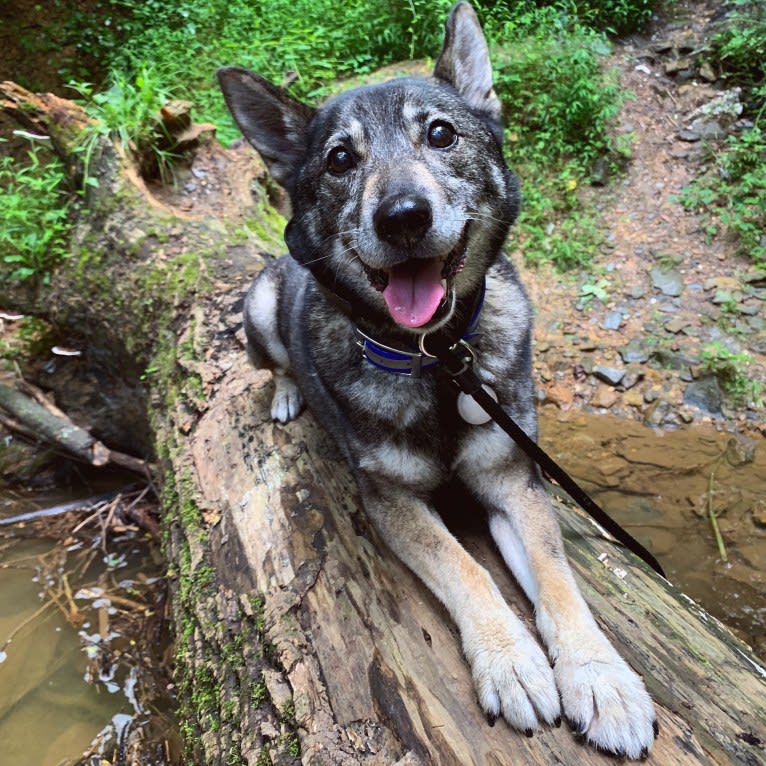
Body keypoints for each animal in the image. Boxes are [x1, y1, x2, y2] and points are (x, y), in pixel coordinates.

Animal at [220, 4, 660, 760]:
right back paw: (286, 393)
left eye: (441, 133)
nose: (402, 217)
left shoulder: (514, 479)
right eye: (340, 158)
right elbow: (465, 568)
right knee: (273, 361)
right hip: (260, 307)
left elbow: (557, 578)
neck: (438, 357)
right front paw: (511, 660)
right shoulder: (391, 501)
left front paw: (600, 676)